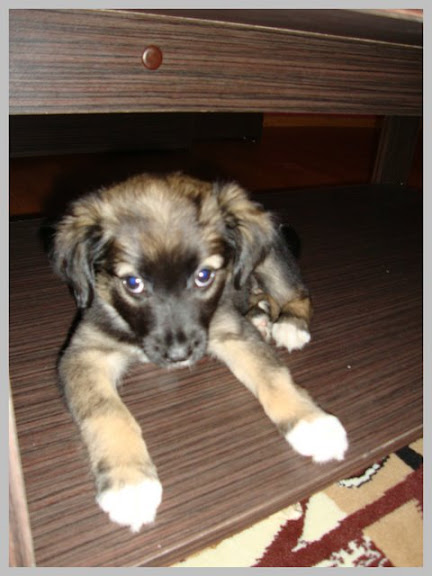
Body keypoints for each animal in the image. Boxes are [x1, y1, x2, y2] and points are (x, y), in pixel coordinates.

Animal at [50, 172, 348, 532]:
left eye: (204, 276)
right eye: (133, 283)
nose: (179, 354)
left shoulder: (229, 328)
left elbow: (272, 375)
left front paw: (311, 422)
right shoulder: (86, 351)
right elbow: (107, 411)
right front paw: (130, 483)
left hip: (272, 260)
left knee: (297, 294)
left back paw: (289, 324)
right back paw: (261, 315)